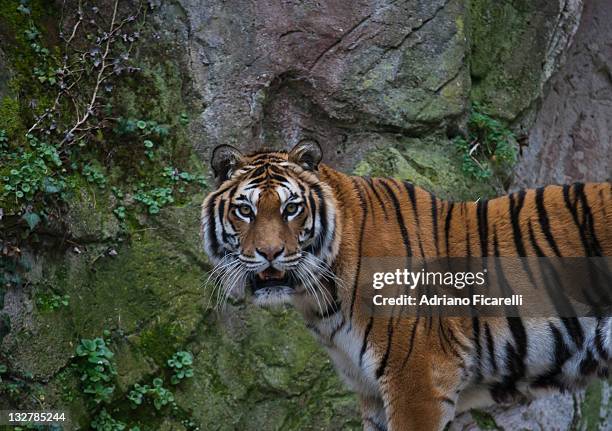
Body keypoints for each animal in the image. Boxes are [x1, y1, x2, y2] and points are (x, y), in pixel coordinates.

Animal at [202, 140, 612, 430]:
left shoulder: (418, 380)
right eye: (245, 210)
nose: (270, 252)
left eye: (291, 208)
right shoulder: (371, 391)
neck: (321, 296)